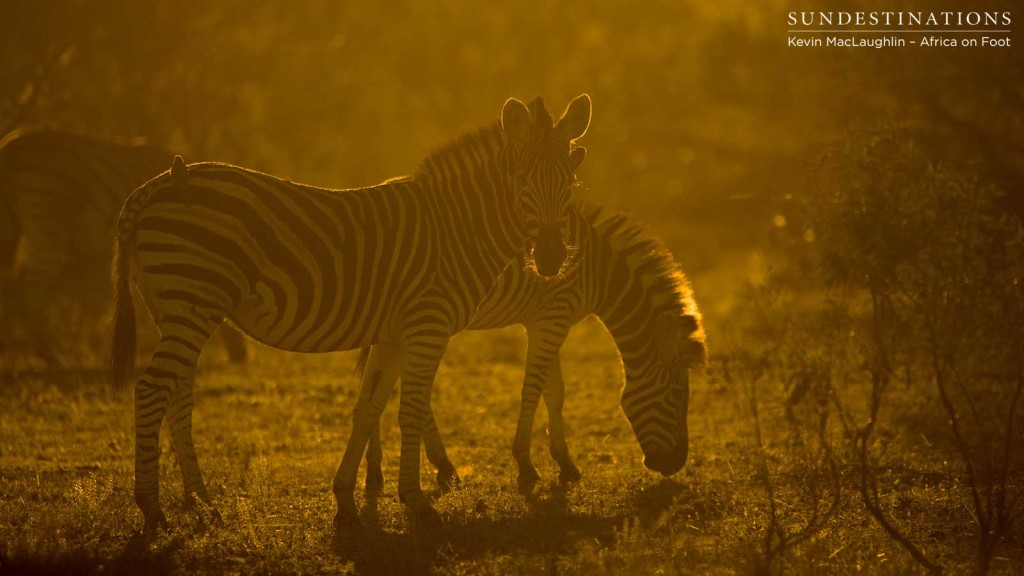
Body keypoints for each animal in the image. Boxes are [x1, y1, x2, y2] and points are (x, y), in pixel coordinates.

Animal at [0, 129, 246, 362]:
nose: (241, 356)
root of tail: (12, 149)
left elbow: (91, 302)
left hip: (16, 227)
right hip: (47, 219)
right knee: (32, 284)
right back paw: (47, 352)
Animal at [109, 94, 593, 532]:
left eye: (571, 181)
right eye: (523, 179)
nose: (552, 257)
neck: (458, 227)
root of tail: (151, 187)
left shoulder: (393, 335)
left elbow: (367, 409)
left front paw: (346, 502)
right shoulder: (427, 326)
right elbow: (408, 411)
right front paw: (417, 503)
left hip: (175, 308)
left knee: (178, 394)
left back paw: (203, 503)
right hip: (192, 300)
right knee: (151, 390)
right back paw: (152, 510)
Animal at [352, 201, 704, 494]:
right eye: (677, 394)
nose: (675, 464)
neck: (599, 273)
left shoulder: (548, 320)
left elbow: (555, 391)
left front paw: (566, 464)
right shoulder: (552, 317)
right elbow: (533, 389)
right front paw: (526, 465)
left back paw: (380, 472)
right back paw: (437, 466)